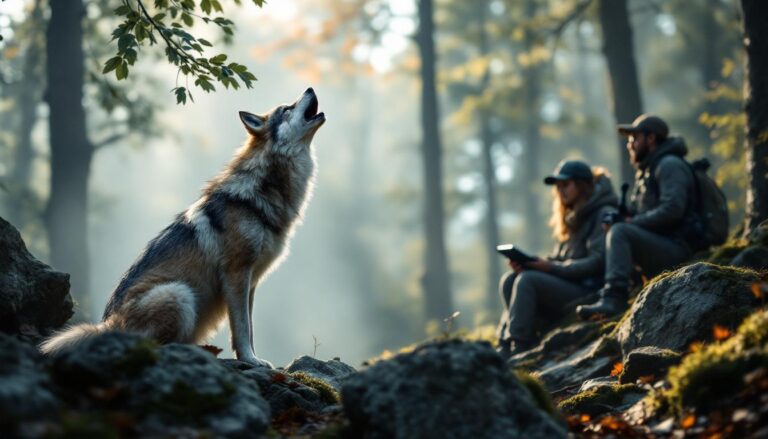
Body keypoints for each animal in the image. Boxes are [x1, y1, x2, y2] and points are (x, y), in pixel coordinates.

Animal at [40, 88, 325, 368]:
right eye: (287, 108)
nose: (310, 88)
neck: (263, 190)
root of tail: (105, 327)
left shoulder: (251, 281)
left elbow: (250, 326)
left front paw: (252, 357)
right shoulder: (236, 274)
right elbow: (242, 327)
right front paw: (250, 359)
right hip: (179, 293)